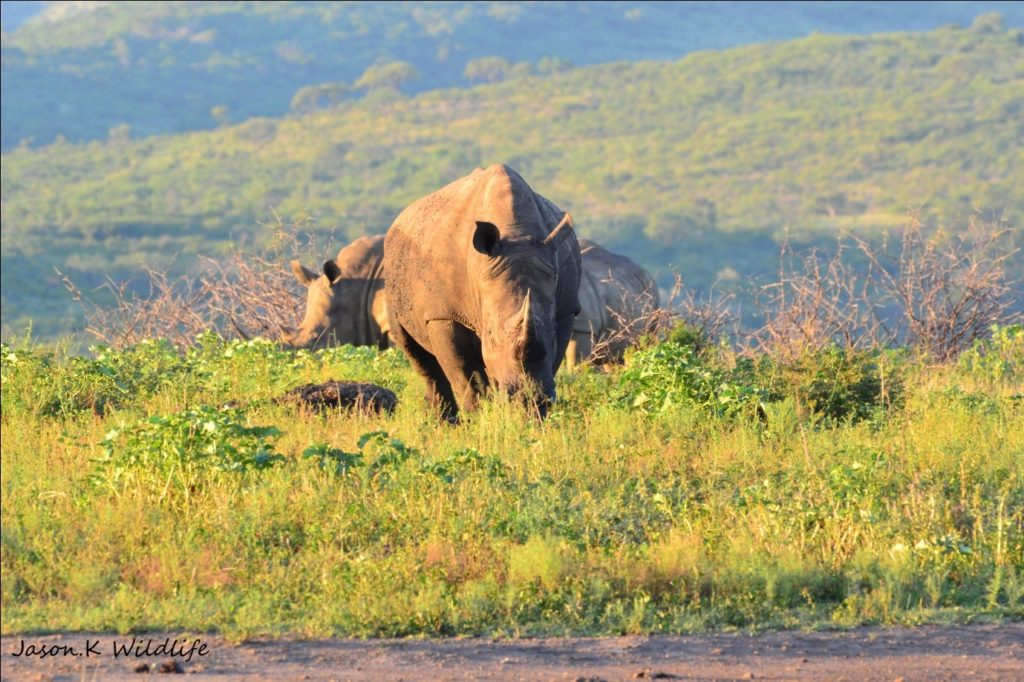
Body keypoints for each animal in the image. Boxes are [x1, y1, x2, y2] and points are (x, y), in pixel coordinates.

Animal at [385, 164, 581, 419]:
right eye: (490, 334)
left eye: (552, 331)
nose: (526, 397)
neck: (515, 232)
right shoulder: (443, 315)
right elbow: (466, 375)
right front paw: (478, 417)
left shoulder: (565, 310)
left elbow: (551, 358)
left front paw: (534, 413)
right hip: (392, 275)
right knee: (418, 357)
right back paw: (442, 421)